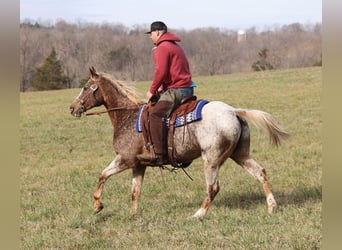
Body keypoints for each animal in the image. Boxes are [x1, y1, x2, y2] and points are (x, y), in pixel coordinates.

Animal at [69, 67, 288, 218]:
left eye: (86, 87)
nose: (72, 108)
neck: (127, 116)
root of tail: (233, 111)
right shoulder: (139, 165)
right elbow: (135, 191)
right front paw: (132, 215)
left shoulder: (125, 159)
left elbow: (102, 175)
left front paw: (97, 205)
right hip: (240, 155)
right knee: (260, 172)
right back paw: (271, 206)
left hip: (211, 160)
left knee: (213, 188)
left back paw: (198, 214)